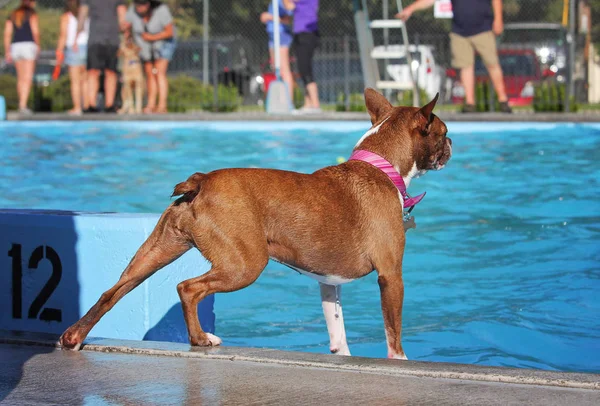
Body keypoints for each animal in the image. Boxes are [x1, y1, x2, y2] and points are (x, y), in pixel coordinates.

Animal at [61, 88, 452, 358]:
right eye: (443, 131)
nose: (451, 142)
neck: (381, 167)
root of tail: (202, 181)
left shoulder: (328, 283)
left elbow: (337, 331)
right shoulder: (391, 274)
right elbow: (393, 331)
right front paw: (399, 361)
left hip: (156, 251)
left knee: (112, 292)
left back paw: (75, 336)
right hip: (245, 264)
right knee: (188, 288)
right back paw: (200, 338)